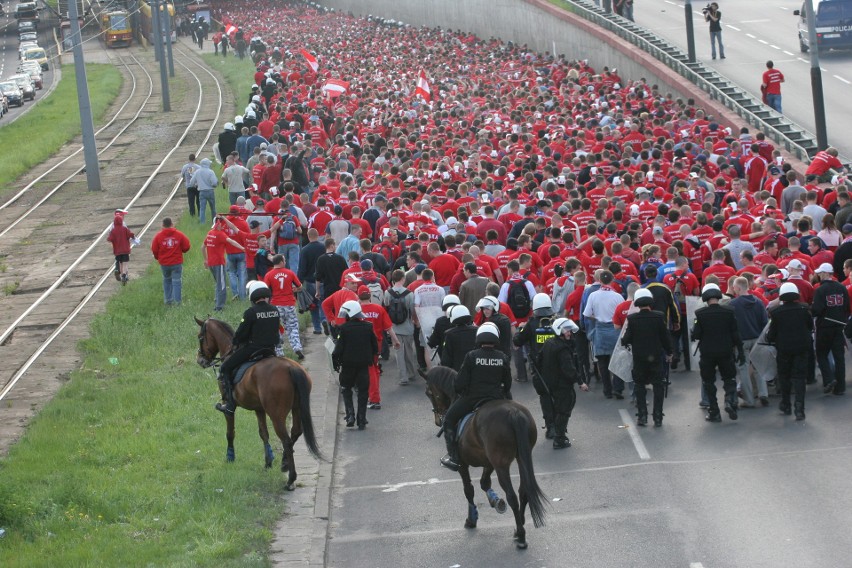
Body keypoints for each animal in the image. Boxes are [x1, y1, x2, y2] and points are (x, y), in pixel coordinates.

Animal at [193, 318, 322, 490]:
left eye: (201, 337)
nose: (200, 360)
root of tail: (291, 368)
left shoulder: (229, 406)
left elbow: (230, 433)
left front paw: (230, 457)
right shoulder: (259, 409)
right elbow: (263, 433)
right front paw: (268, 462)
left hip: (276, 414)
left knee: (286, 440)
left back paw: (291, 479)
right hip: (296, 408)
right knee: (295, 432)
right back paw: (284, 463)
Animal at [424, 366, 548, 548]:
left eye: (428, 393)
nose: (437, 420)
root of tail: (514, 413)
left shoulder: (463, 465)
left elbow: (469, 490)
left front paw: (472, 518)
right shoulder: (489, 462)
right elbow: (484, 483)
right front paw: (495, 501)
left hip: (501, 465)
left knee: (512, 496)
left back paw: (521, 535)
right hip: (521, 458)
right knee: (523, 491)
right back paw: (520, 524)